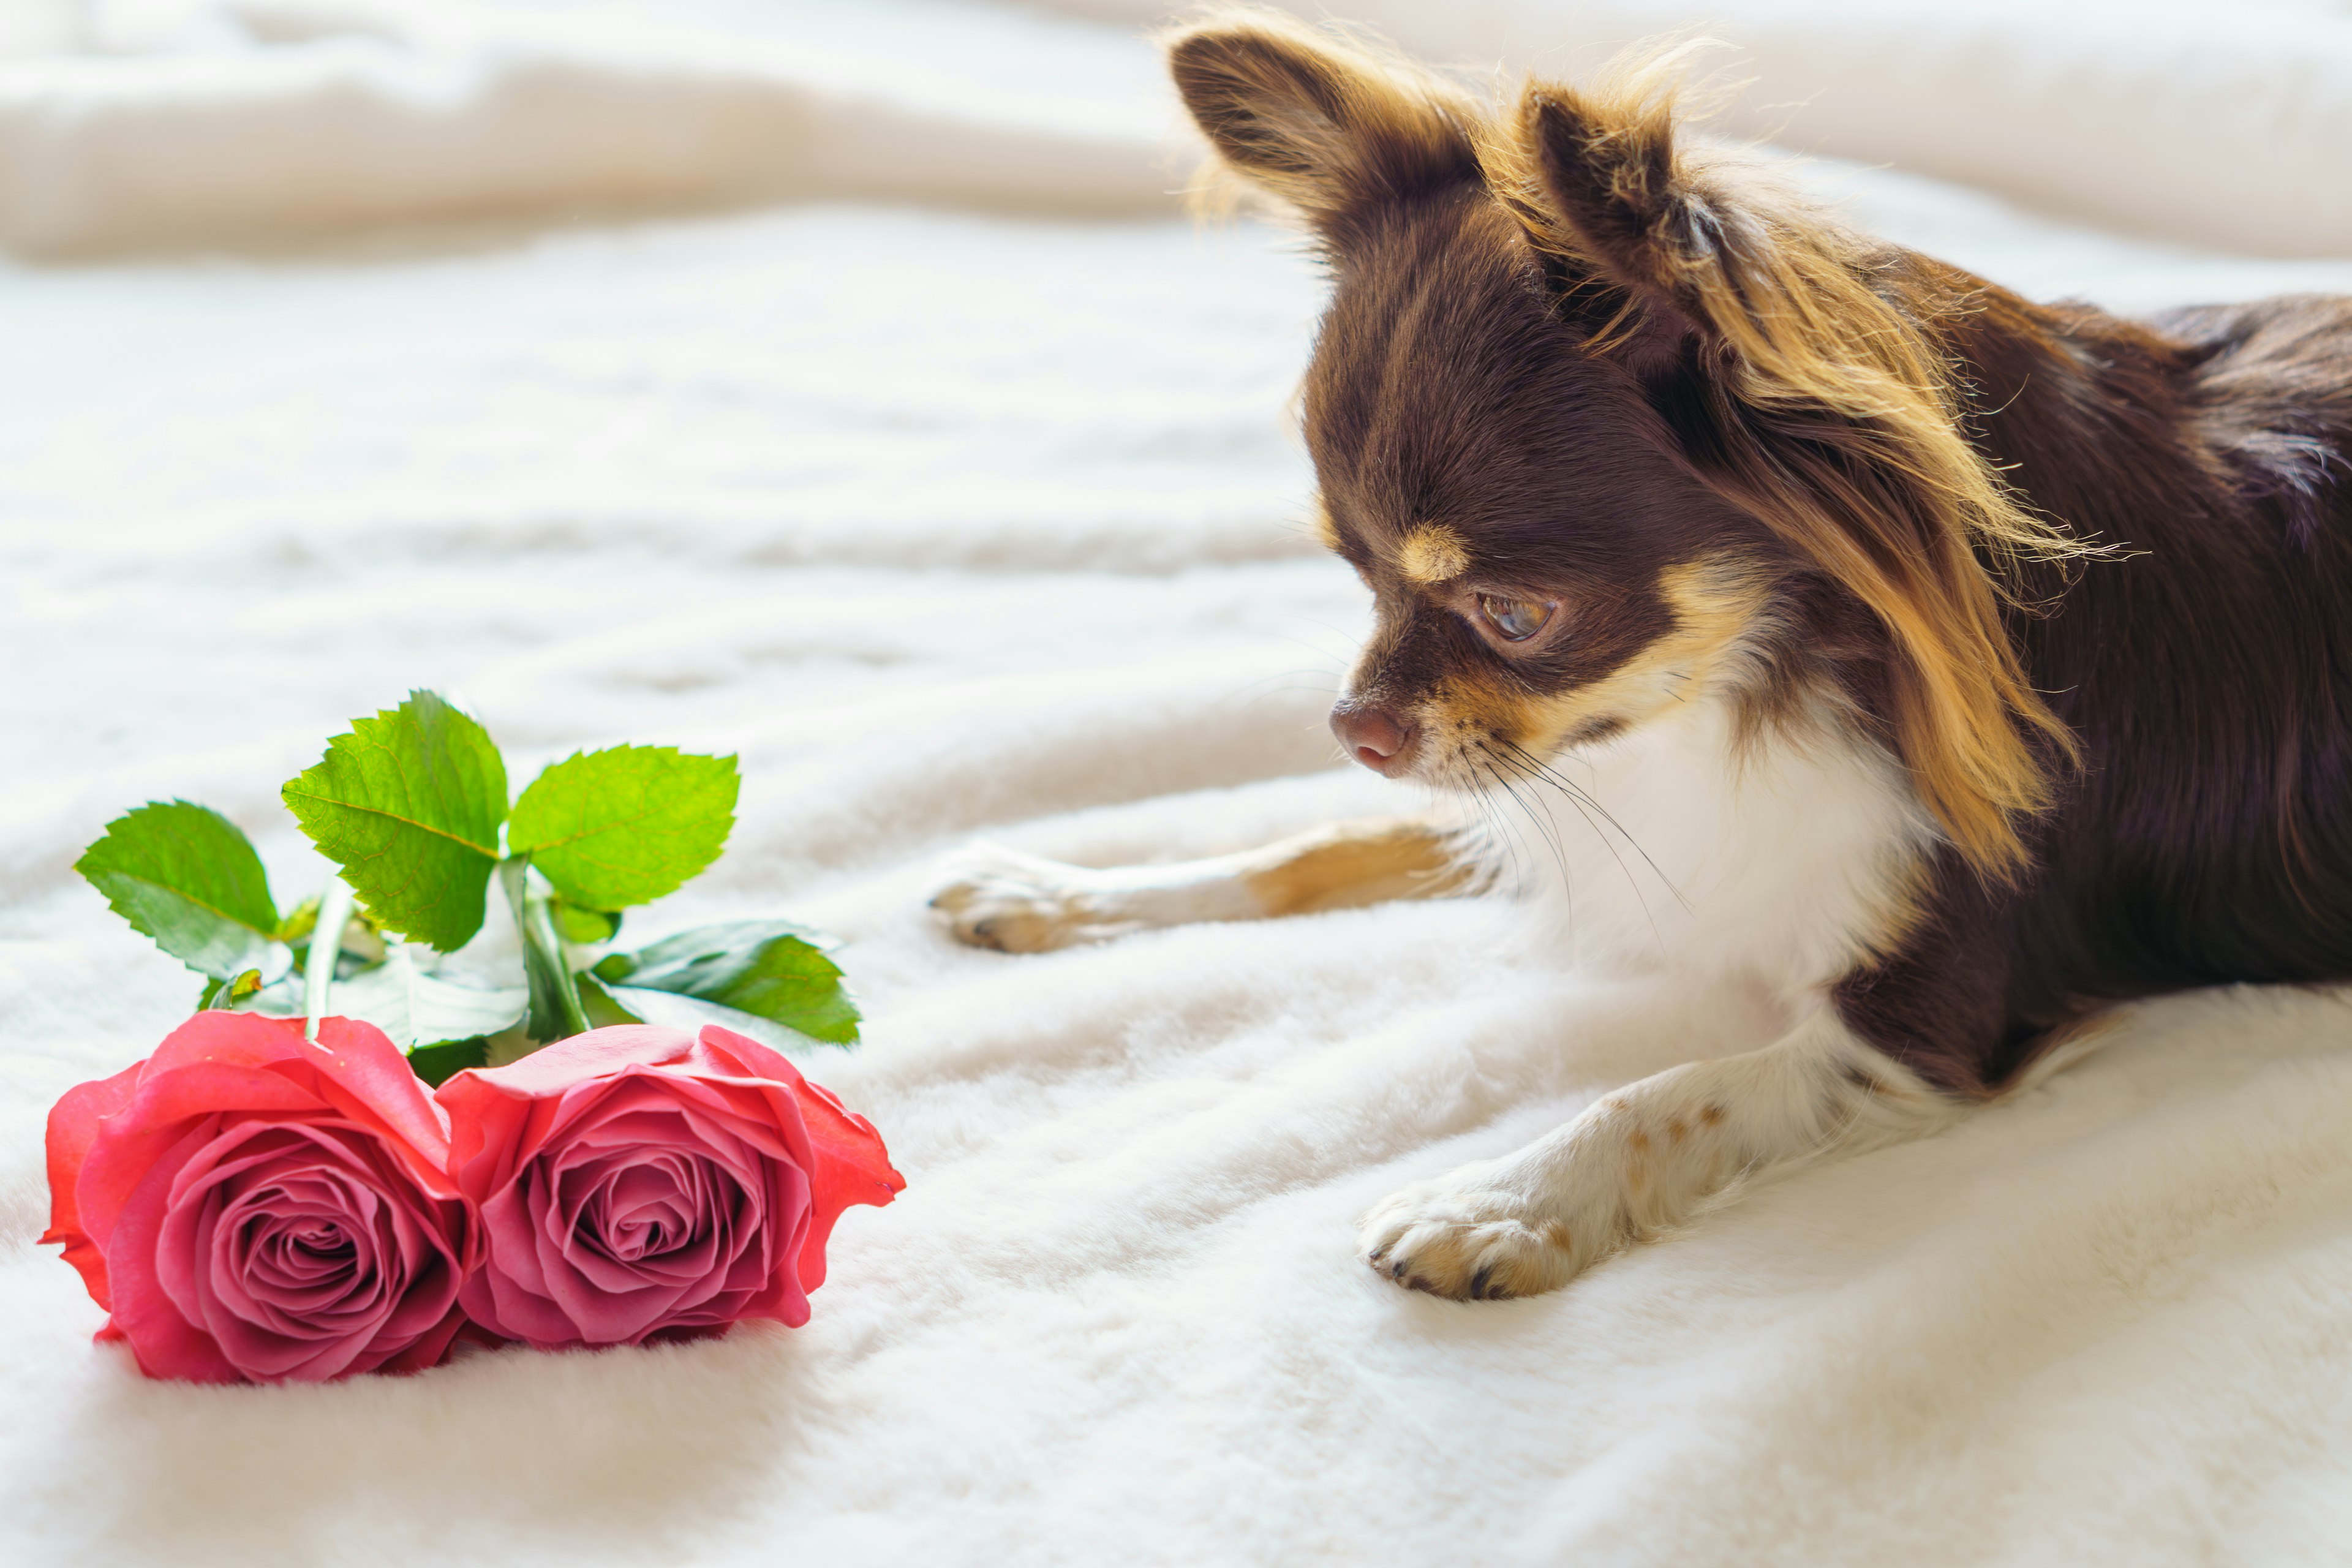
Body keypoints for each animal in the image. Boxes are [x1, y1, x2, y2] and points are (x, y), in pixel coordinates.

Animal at [926, 12, 2352, 1297]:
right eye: (1354, 572)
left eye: (1515, 615)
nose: (1354, 727)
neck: (1756, 680)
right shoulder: (1537, 787)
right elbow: (1315, 845)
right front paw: (1072, 890)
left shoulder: (1933, 1019)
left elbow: (1673, 1090)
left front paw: (1502, 1196)